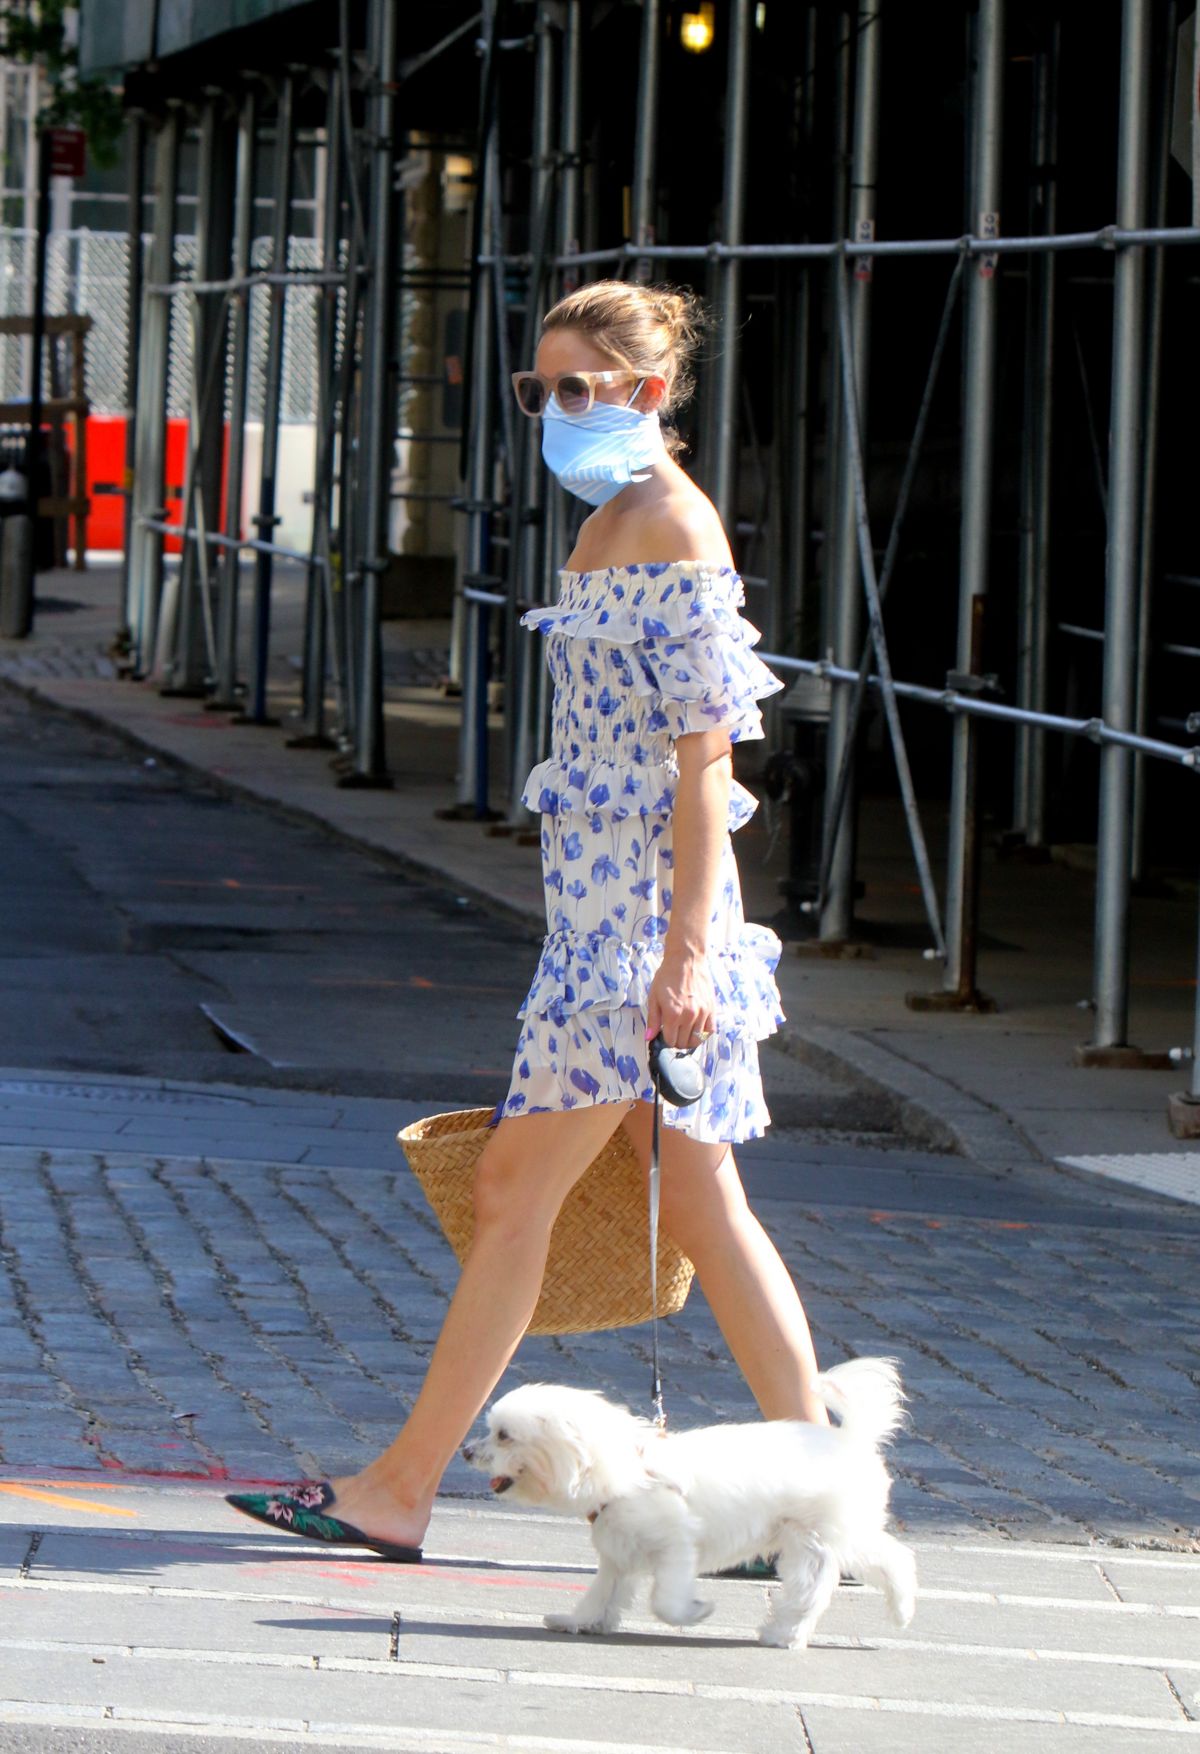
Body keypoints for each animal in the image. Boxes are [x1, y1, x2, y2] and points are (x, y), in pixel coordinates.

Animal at [463, 1354, 912, 1641]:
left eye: (503, 1436)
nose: (467, 1452)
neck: (627, 1473)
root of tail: (851, 1439)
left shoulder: (675, 1548)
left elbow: (665, 1601)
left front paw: (693, 1612)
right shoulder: (617, 1556)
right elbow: (603, 1594)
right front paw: (581, 1621)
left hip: (813, 1539)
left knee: (812, 1589)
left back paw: (783, 1633)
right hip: (844, 1535)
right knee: (893, 1558)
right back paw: (902, 1609)